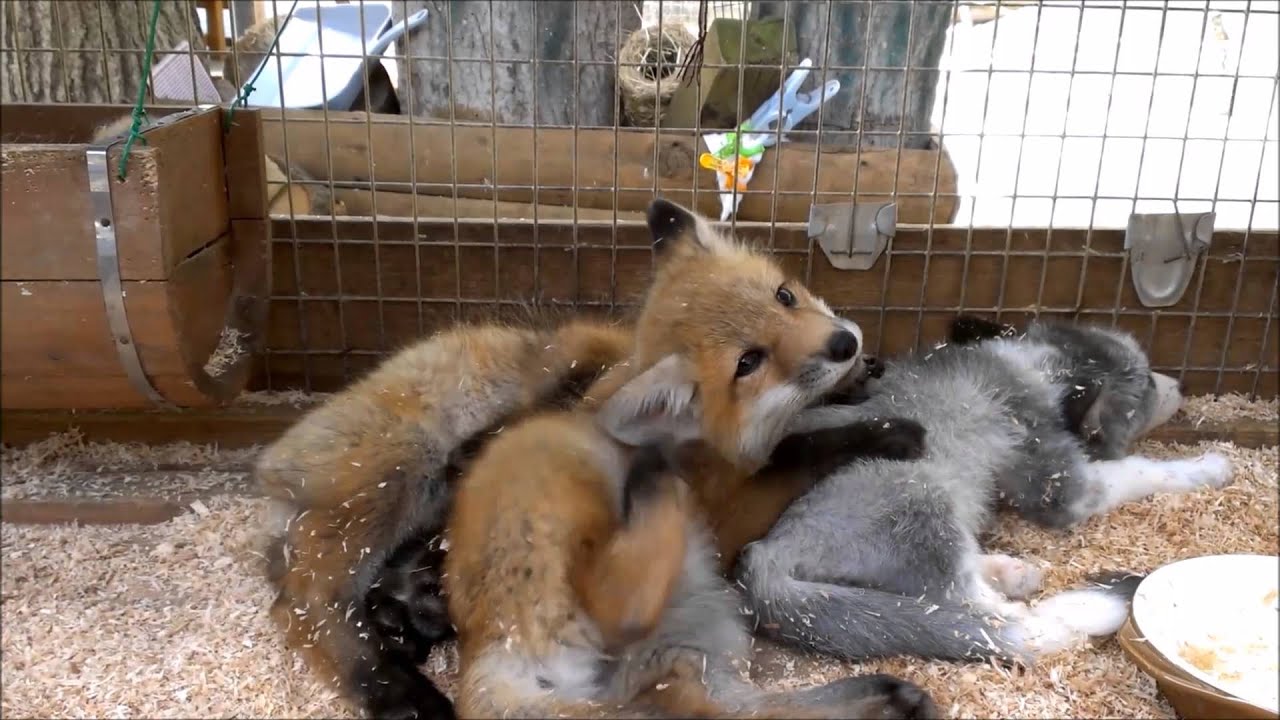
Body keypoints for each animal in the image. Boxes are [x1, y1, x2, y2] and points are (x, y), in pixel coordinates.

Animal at [735, 314, 1236, 667]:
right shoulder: (1063, 488)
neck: (1031, 368)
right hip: (922, 501)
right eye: (1147, 381)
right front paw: (1210, 466)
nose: (1180, 384)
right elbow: (1142, 470)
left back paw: (1013, 571)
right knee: (985, 614)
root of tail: (764, 557)